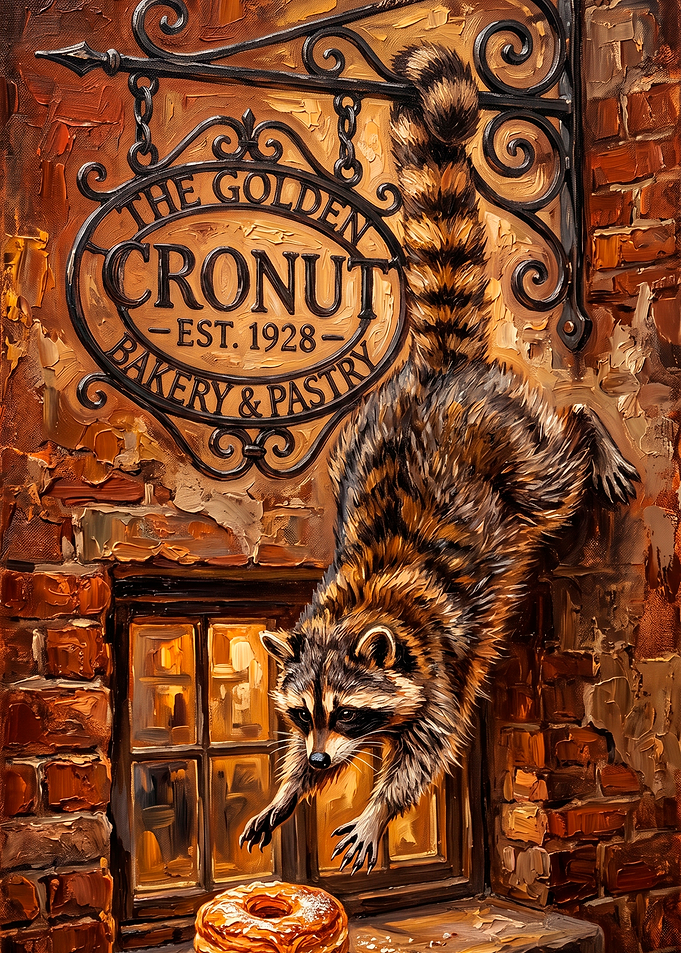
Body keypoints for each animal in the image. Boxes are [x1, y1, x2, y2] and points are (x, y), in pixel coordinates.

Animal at [240, 44, 639, 874]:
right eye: (301, 710)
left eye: (347, 711)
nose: (321, 761)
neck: (355, 612)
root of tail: (437, 369)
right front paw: (289, 785)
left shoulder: (438, 655)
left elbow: (431, 741)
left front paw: (377, 808)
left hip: (510, 446)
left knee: (553, 467)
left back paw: (589, 428)